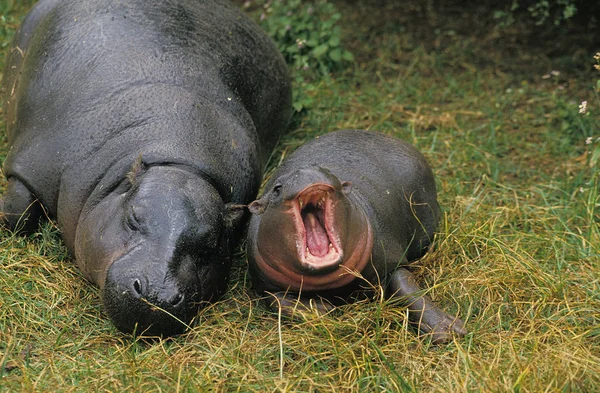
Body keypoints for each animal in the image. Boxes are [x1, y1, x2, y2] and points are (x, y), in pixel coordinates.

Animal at [1, 0, 292, 334]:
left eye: (210, 245)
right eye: (133, 218)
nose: (156, 295)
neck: (178, 157)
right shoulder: (37, 162)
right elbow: (17, 213)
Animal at [246, 129, 466, 344]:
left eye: (329, 173)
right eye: (276, 189)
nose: (307, 171)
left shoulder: (389, 257)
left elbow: (407, 287)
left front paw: (448, 330)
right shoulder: (264, 282)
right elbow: (276, 299)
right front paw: (322, 309)